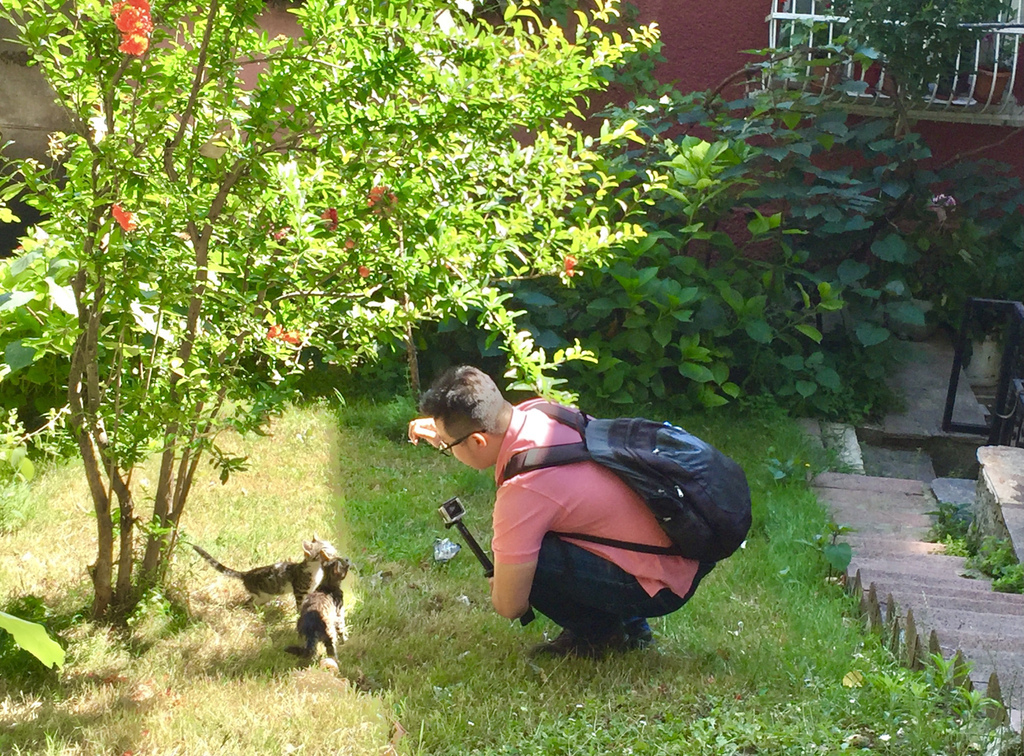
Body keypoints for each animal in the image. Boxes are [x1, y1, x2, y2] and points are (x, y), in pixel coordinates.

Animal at [191, 532, 335, 610]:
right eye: (325, 548)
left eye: (329, 544)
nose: (334, 550)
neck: (316, 570)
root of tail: (246, 574)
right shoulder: (299, 591)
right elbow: (300, 605)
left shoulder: (310, 590)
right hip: (261, 595)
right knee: (248, 603)